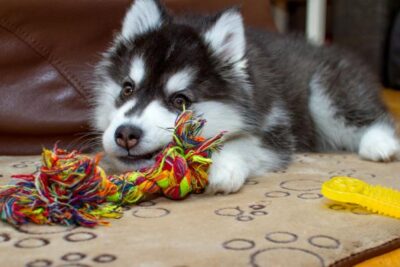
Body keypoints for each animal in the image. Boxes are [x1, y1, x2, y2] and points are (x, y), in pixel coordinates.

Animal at [93, 0, 400, 194]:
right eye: (127, 88)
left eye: (180, 100)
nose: (126, 134)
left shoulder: (277, 132)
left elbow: (241, 143)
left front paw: (223, 168)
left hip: (326, 95)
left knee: (373, 117)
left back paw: (380, 145)